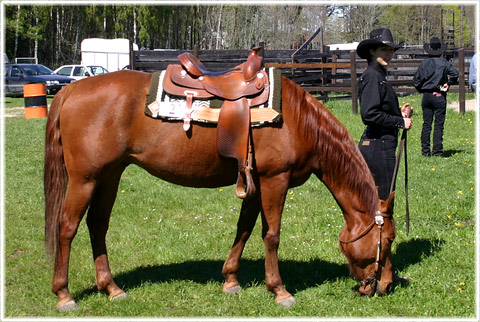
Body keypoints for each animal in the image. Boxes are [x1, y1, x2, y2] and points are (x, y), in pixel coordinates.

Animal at [44, 70, 398, 312]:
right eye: (389, 240)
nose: (385, 285)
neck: (299, 120)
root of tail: (72, 89)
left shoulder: (255, 183)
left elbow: (244, 229)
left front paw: (230, 281)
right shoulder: (275, 179)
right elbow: (272, 235)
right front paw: (280, 291)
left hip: (110, 175)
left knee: (97, 226)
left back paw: (112, 288)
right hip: (85, 179)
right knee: (67, 227)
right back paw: (64, 295)